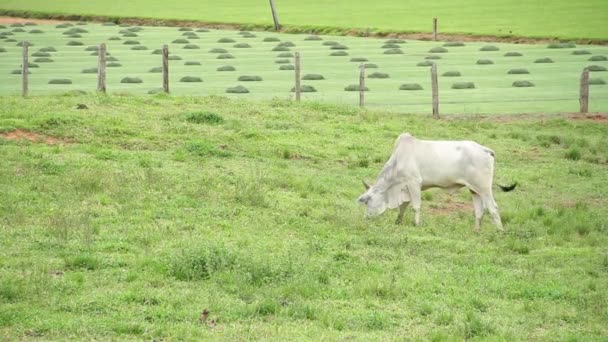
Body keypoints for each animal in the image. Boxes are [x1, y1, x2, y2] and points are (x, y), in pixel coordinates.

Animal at [358, 132, 516, 231]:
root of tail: (485, 150)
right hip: (474, 189)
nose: (365, 218)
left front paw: (416, 224)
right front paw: (398, 222)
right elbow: (403, 206)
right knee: (479, 211)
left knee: (493, 208)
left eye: (367, 200)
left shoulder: (414, 183)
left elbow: (416, 206)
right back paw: (476, 230)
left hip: (484, 188)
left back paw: (500, 231)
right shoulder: (406, 187)